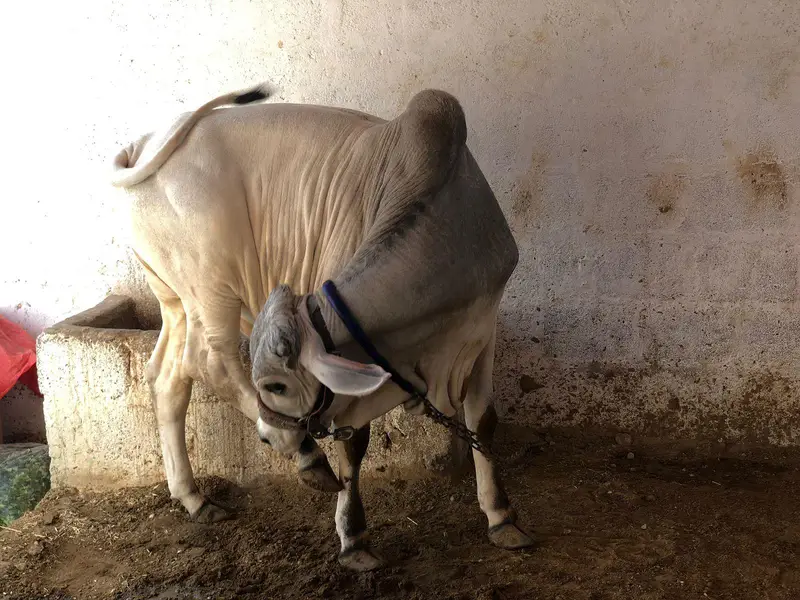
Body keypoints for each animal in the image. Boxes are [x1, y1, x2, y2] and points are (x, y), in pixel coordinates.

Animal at [110, 83, 532, 570]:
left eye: (277, 386)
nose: (268, 433)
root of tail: (144, 144)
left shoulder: (482, 327)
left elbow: (483, 420)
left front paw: (501, 517)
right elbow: (355, 442)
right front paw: (354, 537)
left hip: (176, 301)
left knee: (167, 378)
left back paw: (195, 498)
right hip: (210, 288)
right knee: (209, 361)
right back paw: (304, 455)